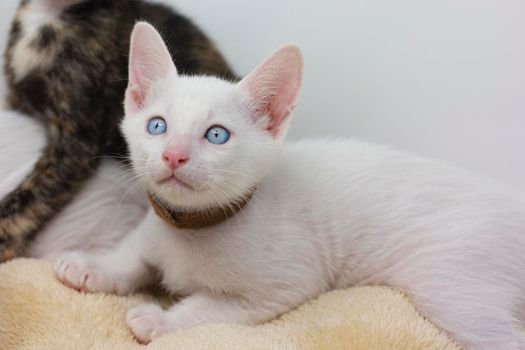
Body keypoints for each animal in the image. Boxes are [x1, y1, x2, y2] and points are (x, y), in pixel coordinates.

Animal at [54, 23, 524, 348]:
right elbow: (132, 256)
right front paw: (92, 267)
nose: (173, 155)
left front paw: (160, 320)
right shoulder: (154, 230)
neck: (192, 227)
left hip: (451, 285)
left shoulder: (287, 284)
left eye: (217, 135)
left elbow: (209, 309)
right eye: (157, 126)